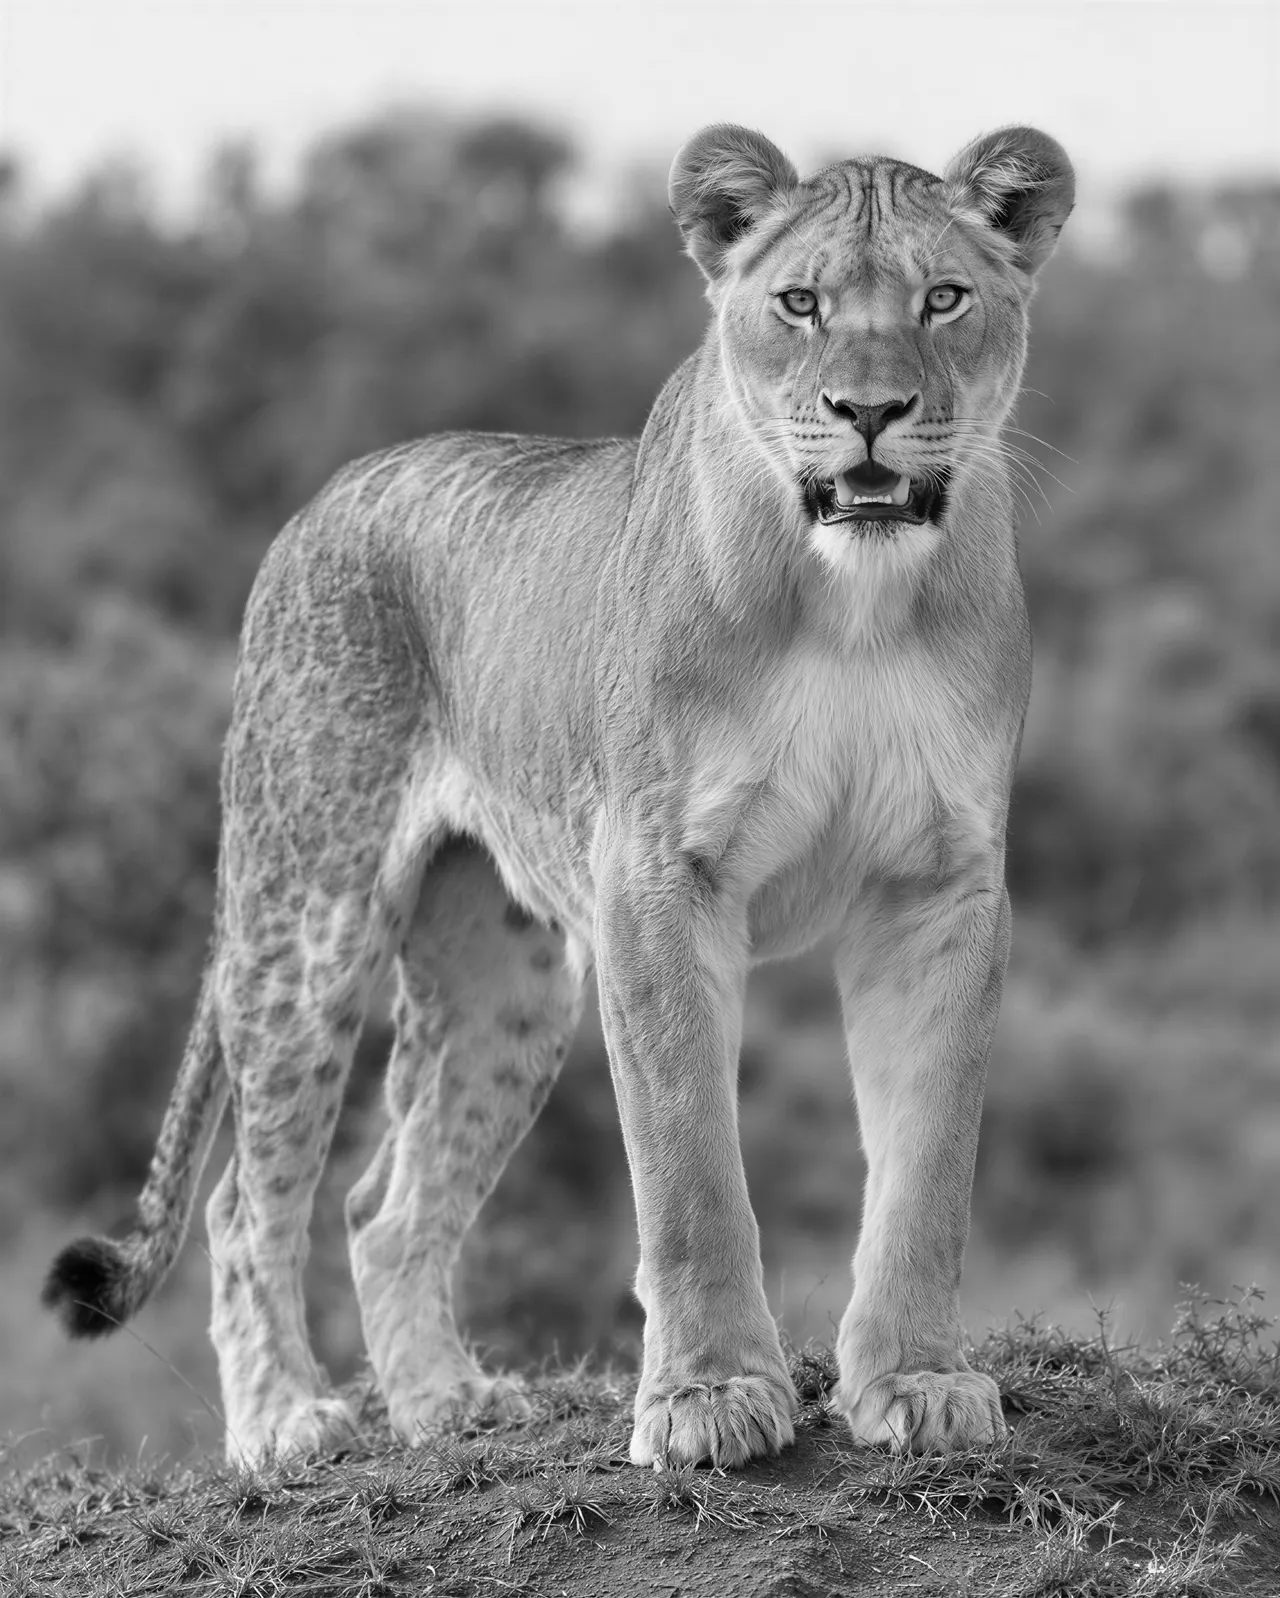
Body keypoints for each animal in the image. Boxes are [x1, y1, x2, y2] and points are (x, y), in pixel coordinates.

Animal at [44, 123, 1073, 1468]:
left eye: (942, 299)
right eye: (798, 304)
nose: (867, 412)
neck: (854, 595)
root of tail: (323, 497)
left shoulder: (939, 886)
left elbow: (927, 1162)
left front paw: (917, 1380)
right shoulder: (656, 876)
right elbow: (688, 1163)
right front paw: (704, 1398)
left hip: (505, 979)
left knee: (382, 1204)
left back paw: (448, 1402)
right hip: (305, 921)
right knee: (242, 1198)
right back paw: (283, 1421)